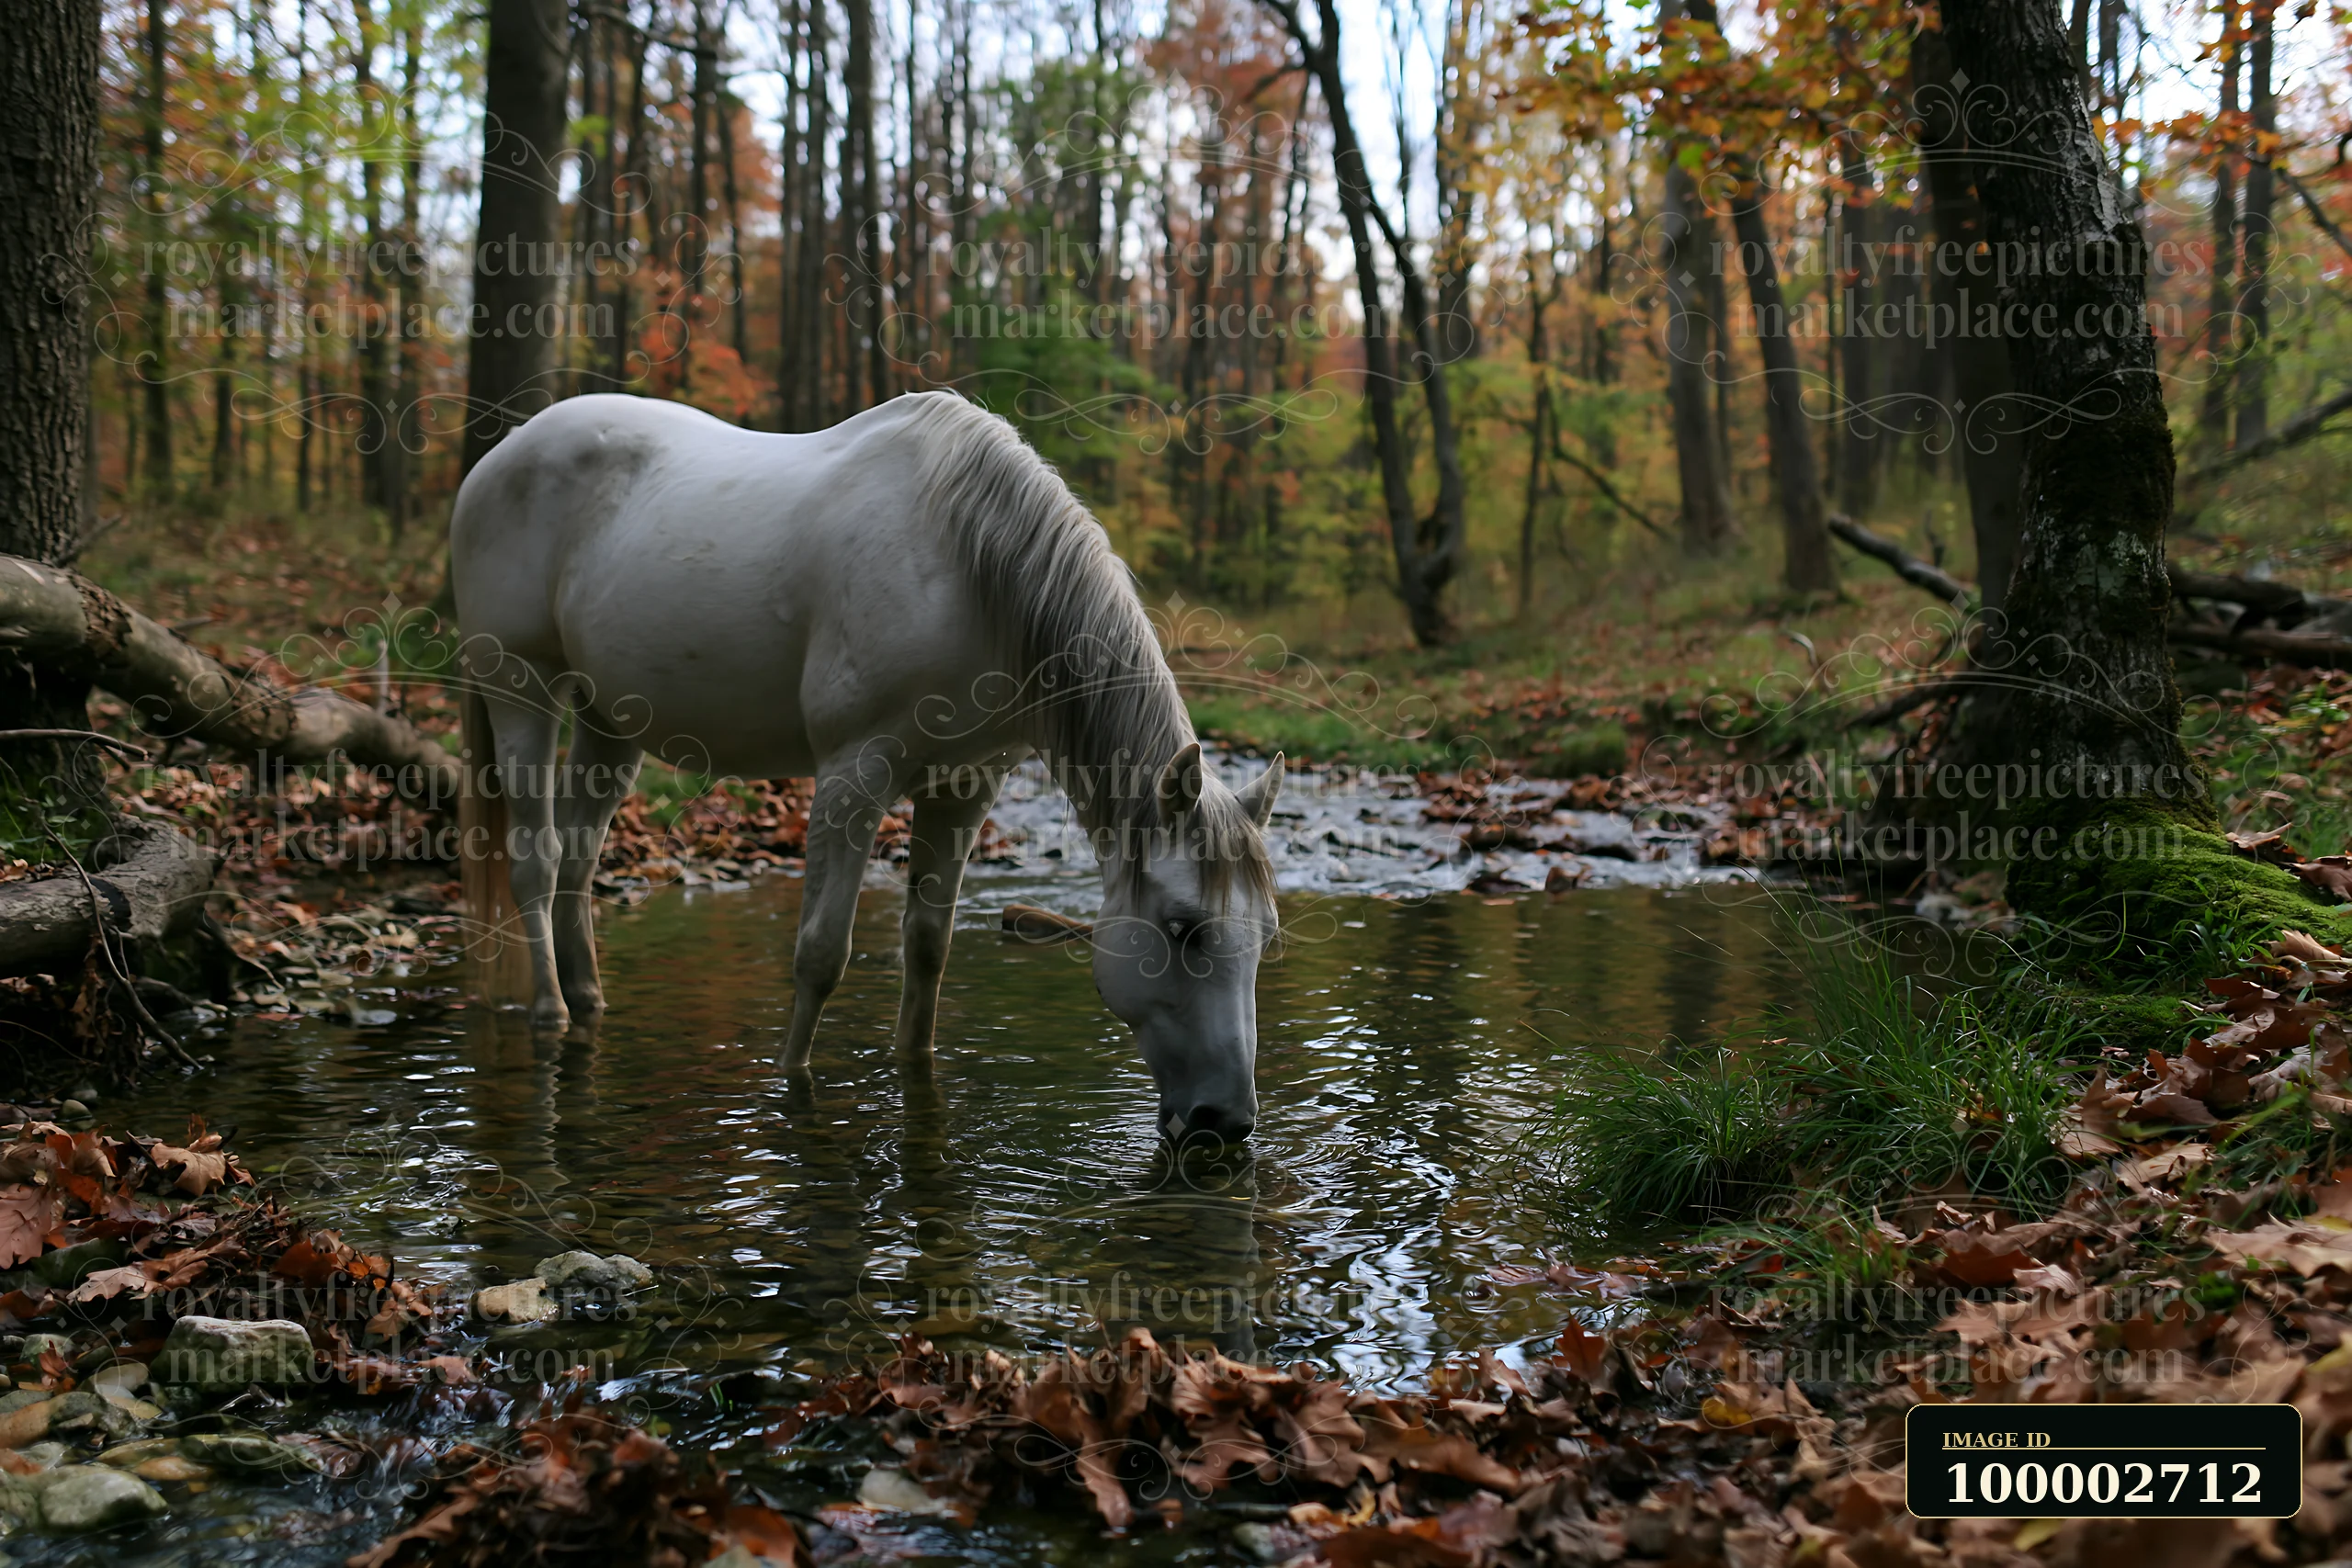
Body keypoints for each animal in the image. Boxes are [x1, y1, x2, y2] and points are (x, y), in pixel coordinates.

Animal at [450, 391, 1284, 1142]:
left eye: (1266, 933)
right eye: (1184, 928)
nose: (1227, 1122)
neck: (967, 568)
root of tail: (498, 457)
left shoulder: (964, 787)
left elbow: (929, 944)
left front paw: (914, 1068)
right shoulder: (854, 774)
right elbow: (821, 952)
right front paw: (792, 1083)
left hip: (608, 721)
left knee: (580, 858)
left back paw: (589, 998)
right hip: (523, 689)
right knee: (535, 860)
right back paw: (552, 1008)